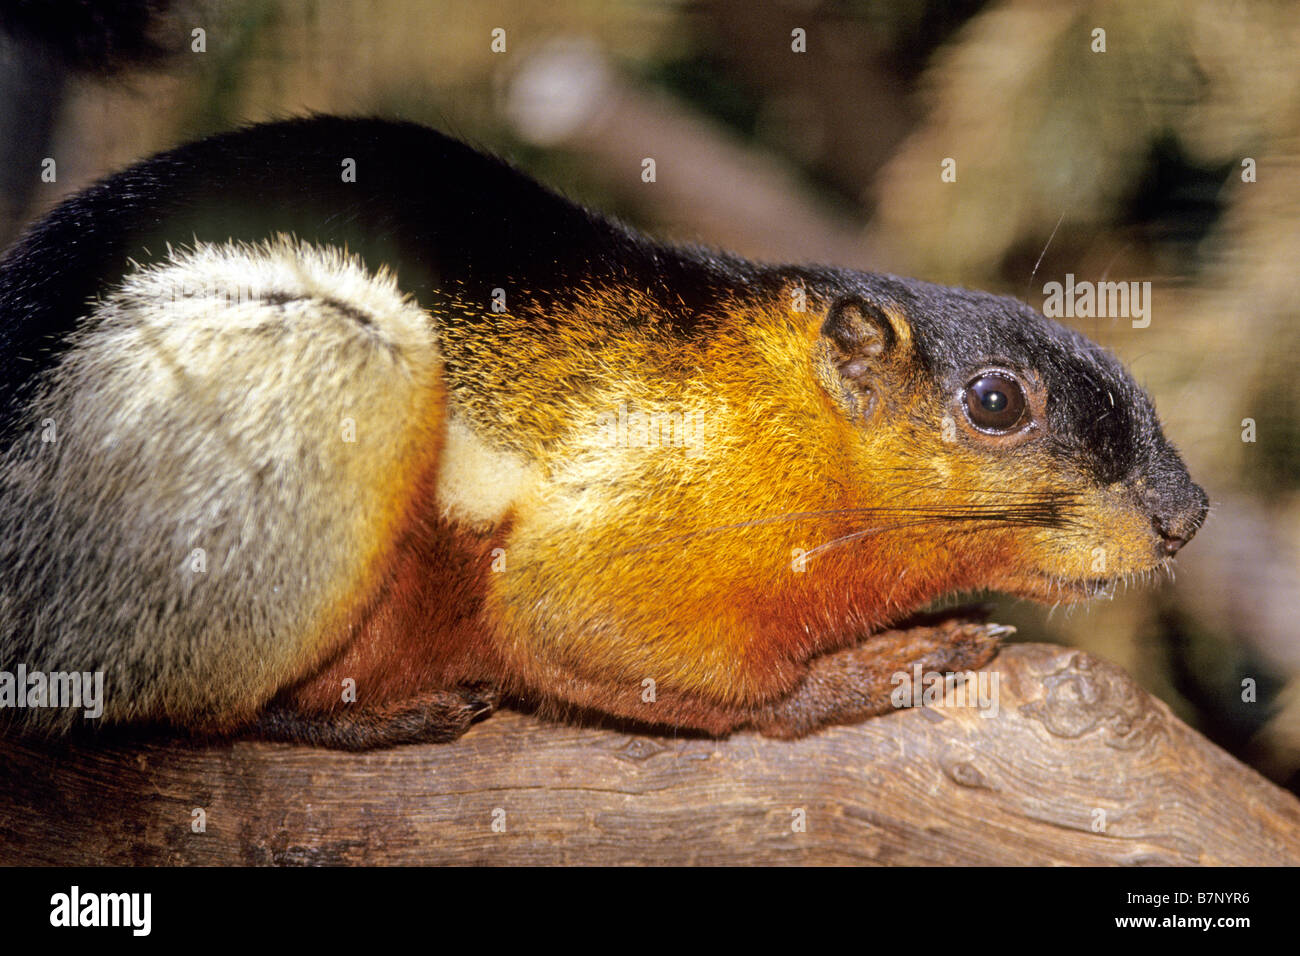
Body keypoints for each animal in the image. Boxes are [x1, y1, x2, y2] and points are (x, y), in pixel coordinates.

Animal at [0, 116, 1208, 749]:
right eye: (995, 402)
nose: (1185, 513)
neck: (783, 422)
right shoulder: (623, 541)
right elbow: (594, 636)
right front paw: (888, 666)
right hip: (341, 364)